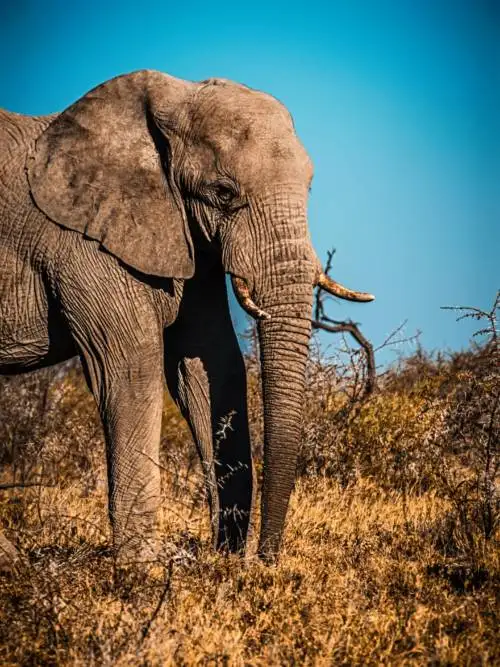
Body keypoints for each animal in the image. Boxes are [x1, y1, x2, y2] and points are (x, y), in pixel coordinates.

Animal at [0, 70, 373, 563]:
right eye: (223, 193)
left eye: (309, 188)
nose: (264, 560)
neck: (172, 100)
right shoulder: (84, 244)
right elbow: (129, 370)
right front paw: (141, 569)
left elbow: (210, 362)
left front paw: (223, 558)